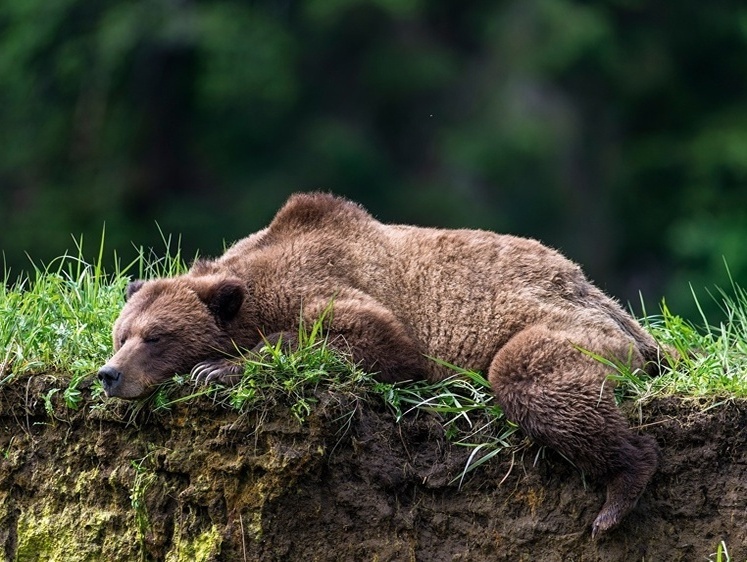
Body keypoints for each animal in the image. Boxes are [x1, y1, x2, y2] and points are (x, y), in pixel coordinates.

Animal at [98, 191, 660, 532]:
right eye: (121, 334)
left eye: (155, 337)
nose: (109, 374)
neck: (256, 290)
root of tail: (594, 290)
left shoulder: (338, 286)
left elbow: (373, 339)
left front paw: (218, 367)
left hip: (564, 323)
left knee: (531, 376)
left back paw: (618, 494)